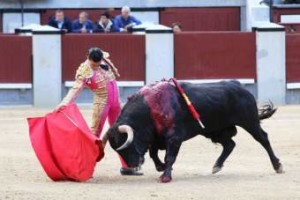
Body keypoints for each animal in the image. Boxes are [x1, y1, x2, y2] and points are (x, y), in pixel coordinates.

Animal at [106, 80, 284, 183]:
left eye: (126, 145)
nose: (132, 165)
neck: (150, 108)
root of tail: (240, 87)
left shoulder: (174, 137)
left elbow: (169, 156)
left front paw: (165, 176)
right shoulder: (156, 137)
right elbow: (154, 153)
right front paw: (161, 167)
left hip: (249, 122)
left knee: (263, 138)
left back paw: (277, 166)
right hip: (215, 130)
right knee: (230, 144)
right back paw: (216, 166)